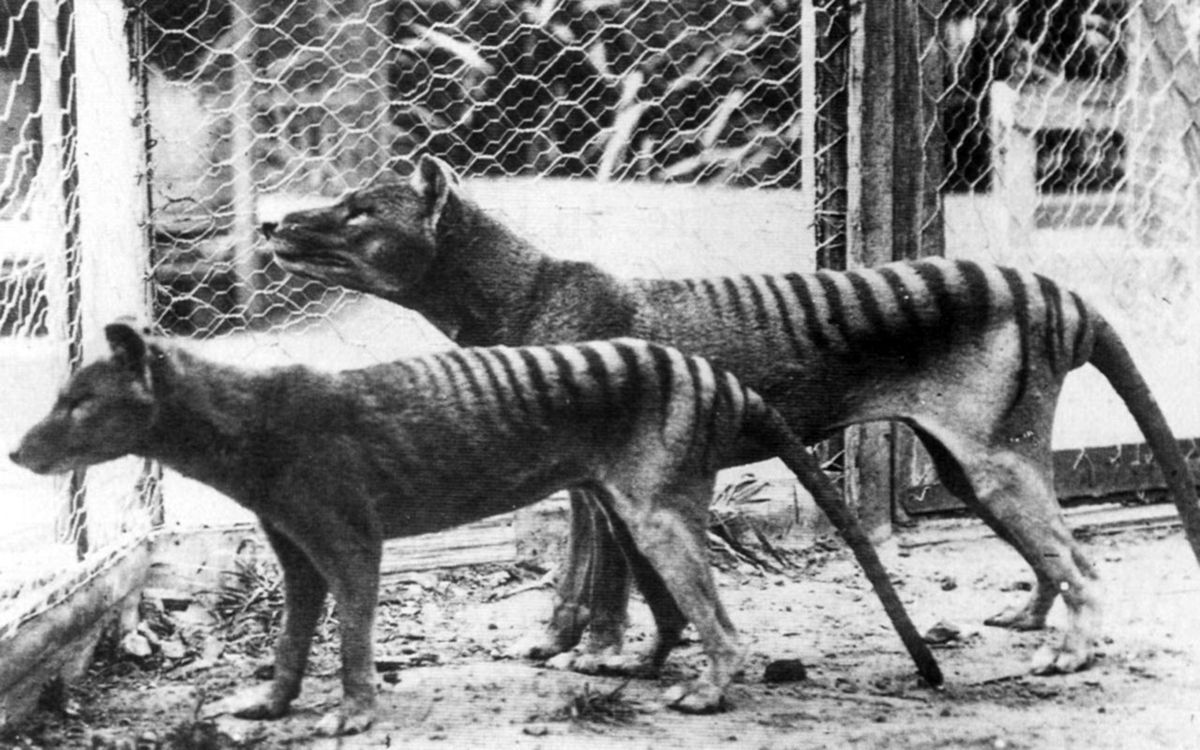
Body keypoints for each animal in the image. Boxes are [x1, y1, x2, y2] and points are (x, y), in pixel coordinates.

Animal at [10, 322, 940, 736]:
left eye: (78, 401)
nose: (17, 450)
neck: (247, 419)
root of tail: (717, 375)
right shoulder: (294, 550)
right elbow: (291, 636)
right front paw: (271, 702)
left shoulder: (349, 537)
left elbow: (352, 635)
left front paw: (353, 712)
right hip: (627, 508)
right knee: (675, 610)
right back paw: (636, 665)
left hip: (657, 510)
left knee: (721, 620)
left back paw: (710, 690)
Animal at [261, 154, 1200, 677]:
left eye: (357, 210)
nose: (271, 223)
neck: (526, 290)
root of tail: (1056, 293)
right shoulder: (582, 480)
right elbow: (573, 573)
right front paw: (556, 641)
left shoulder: (607, 474)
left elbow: (604, 578)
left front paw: (598, 651)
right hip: (962, 466)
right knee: (1053, 552)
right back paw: (1034, 617)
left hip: (995, 459)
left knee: (1082, 559)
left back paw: (1071, 650)